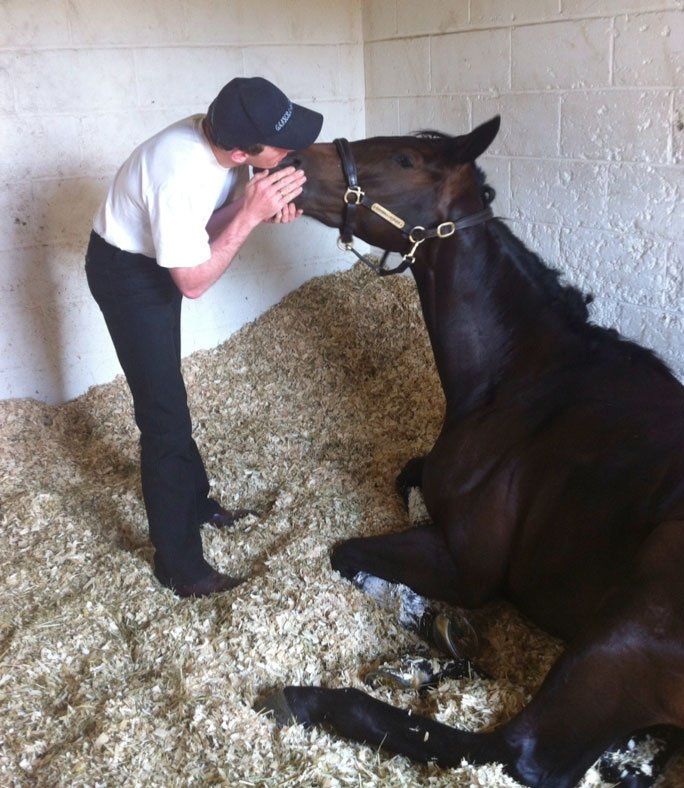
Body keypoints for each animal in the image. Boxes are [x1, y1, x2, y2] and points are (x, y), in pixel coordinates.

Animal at [256, 117, 684, 787]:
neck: (522, 378)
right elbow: (405, 481)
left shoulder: (467, 567)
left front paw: (428, 621)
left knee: (519, 752)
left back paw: (312, 699)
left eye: (403, 159)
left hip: (623, 636)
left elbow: (347, 552)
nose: (287, 163)